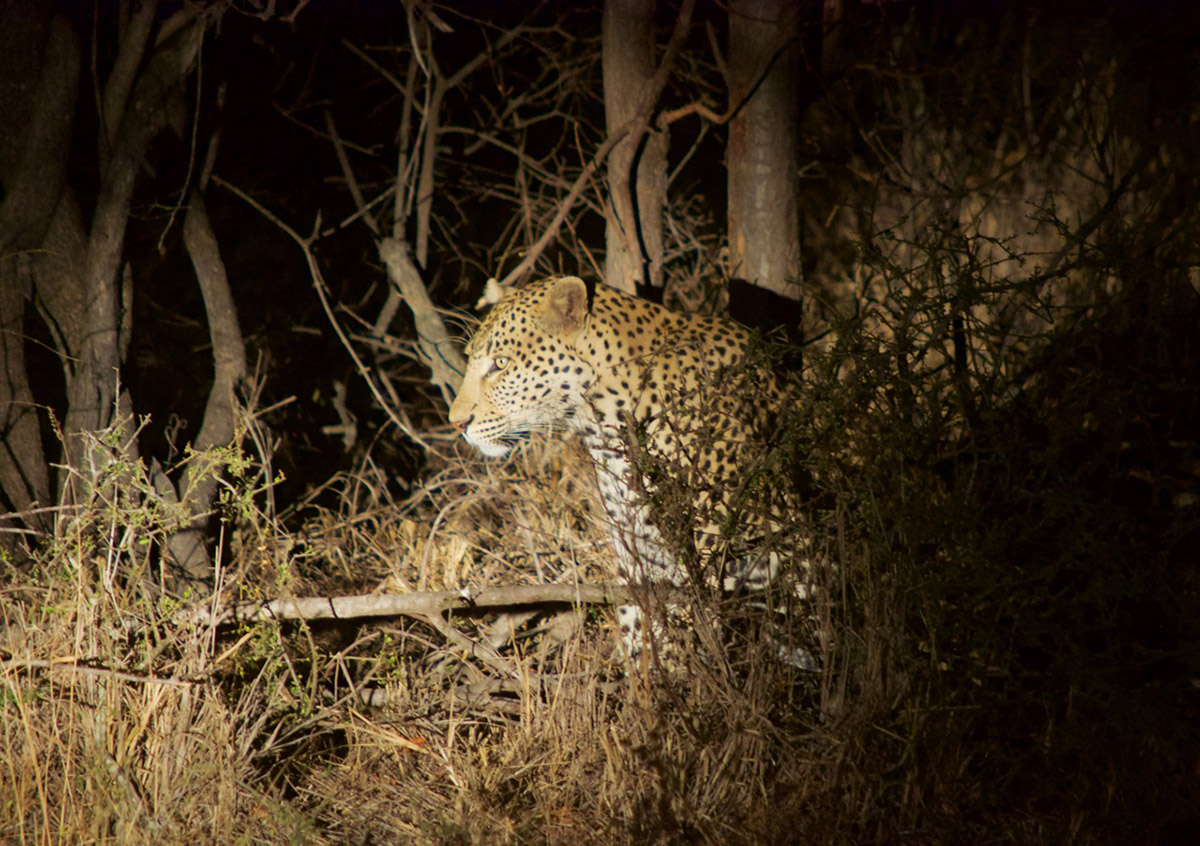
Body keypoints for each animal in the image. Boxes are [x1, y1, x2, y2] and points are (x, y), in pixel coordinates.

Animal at [448, 274, 816, 667]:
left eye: (501, 363)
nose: (456, 422)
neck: (602, 421)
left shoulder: (711, 547)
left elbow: (690, 632)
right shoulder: (639, 547)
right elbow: (640, 629)